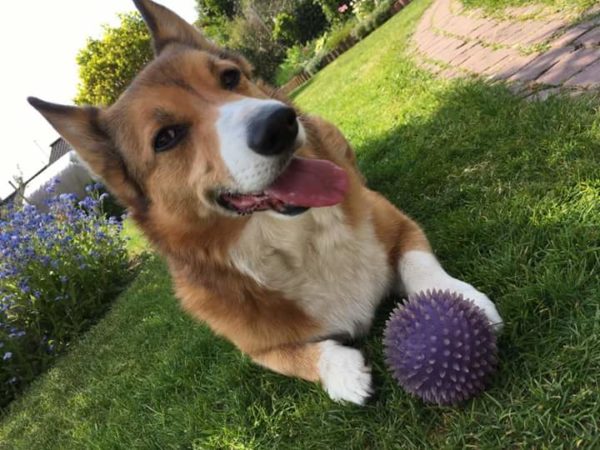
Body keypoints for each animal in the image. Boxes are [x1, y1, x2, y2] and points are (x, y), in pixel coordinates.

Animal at [30, 0, 504, 404]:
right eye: (165, 138)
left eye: (227, 78)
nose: (279, 124)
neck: (297, 240)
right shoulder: (253, 345)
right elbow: (293, 356)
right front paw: (342, 374)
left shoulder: (396, 223)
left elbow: (420, 264)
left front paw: (467, 303)